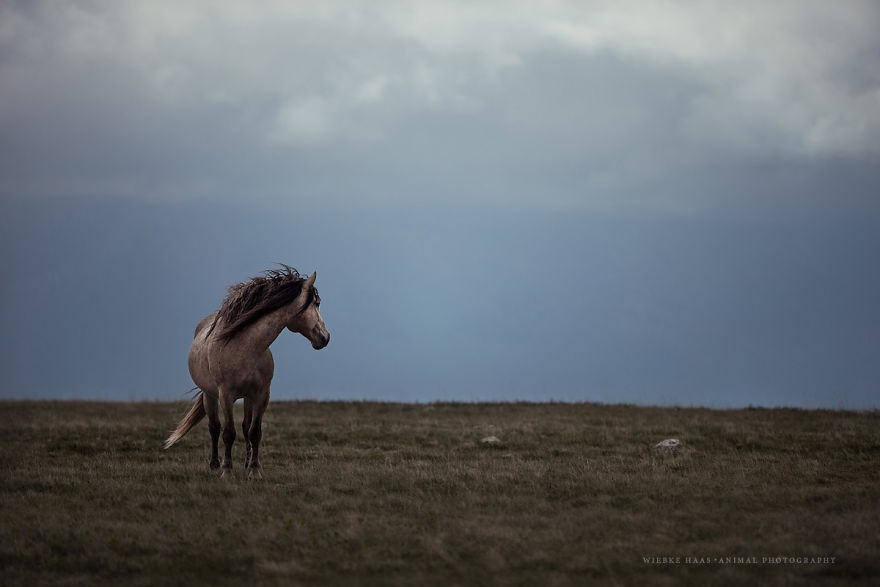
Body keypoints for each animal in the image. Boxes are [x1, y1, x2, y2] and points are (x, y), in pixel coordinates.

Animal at [163, 265, 329, 479]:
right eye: (317, 303)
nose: (325, 338)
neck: (245, 347)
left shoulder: (261, 394)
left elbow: (254, 432)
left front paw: (255, 470)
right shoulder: (225, 395)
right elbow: (228, 433)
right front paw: (226, 471)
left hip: (247, 397)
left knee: (244, 427)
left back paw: (246, 462)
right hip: (210, 396)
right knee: (214, 427)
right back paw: (215, 464)